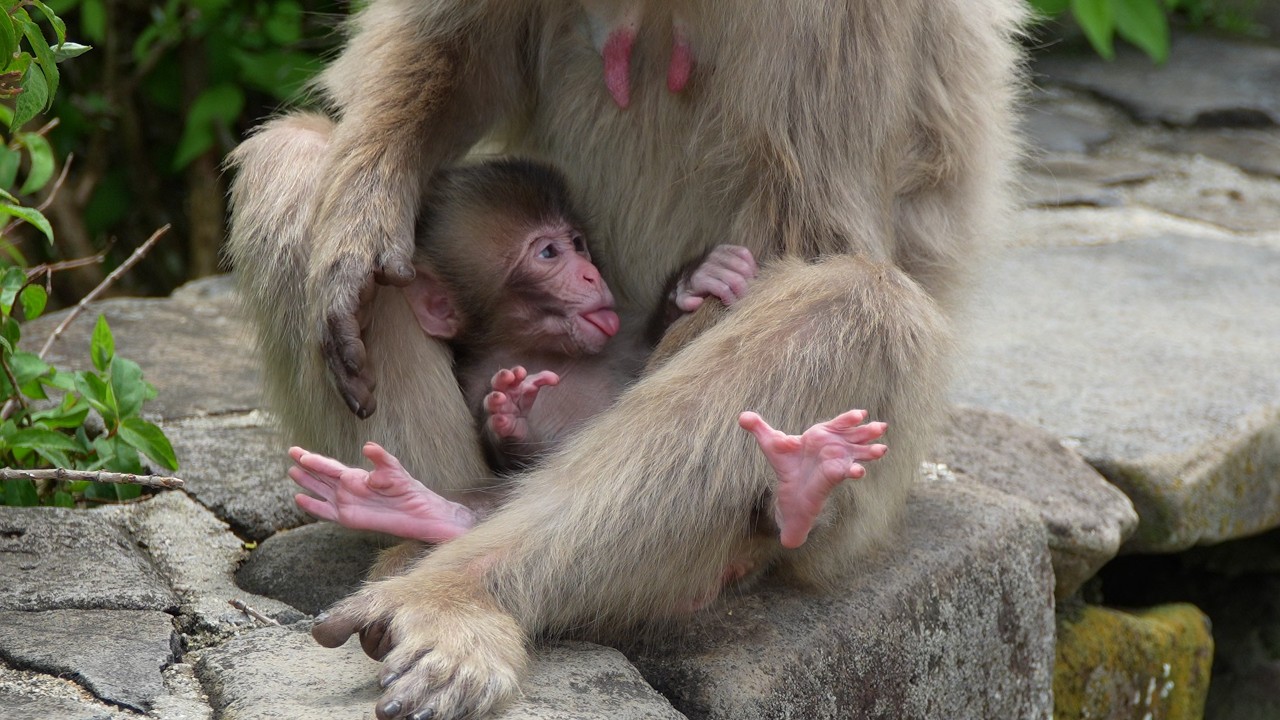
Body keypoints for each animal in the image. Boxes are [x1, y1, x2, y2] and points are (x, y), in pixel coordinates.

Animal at [287, 158, 889, 548]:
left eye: (576, 243)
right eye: (548, 254)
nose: (589, 273)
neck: (544, 349)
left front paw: (698, 280)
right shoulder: (477, 373)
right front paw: (510, 415)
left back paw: (803, 485)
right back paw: (422, 511)